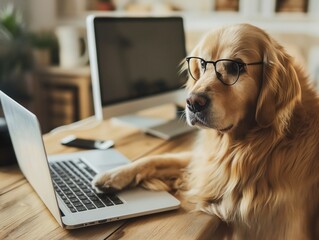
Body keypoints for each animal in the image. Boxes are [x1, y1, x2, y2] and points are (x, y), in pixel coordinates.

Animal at [92, 24, 319, 240]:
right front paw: (113, 175)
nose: (192, 103)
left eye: (235, 66)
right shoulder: (203, 163)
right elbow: (158, 158)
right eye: (202, 64)